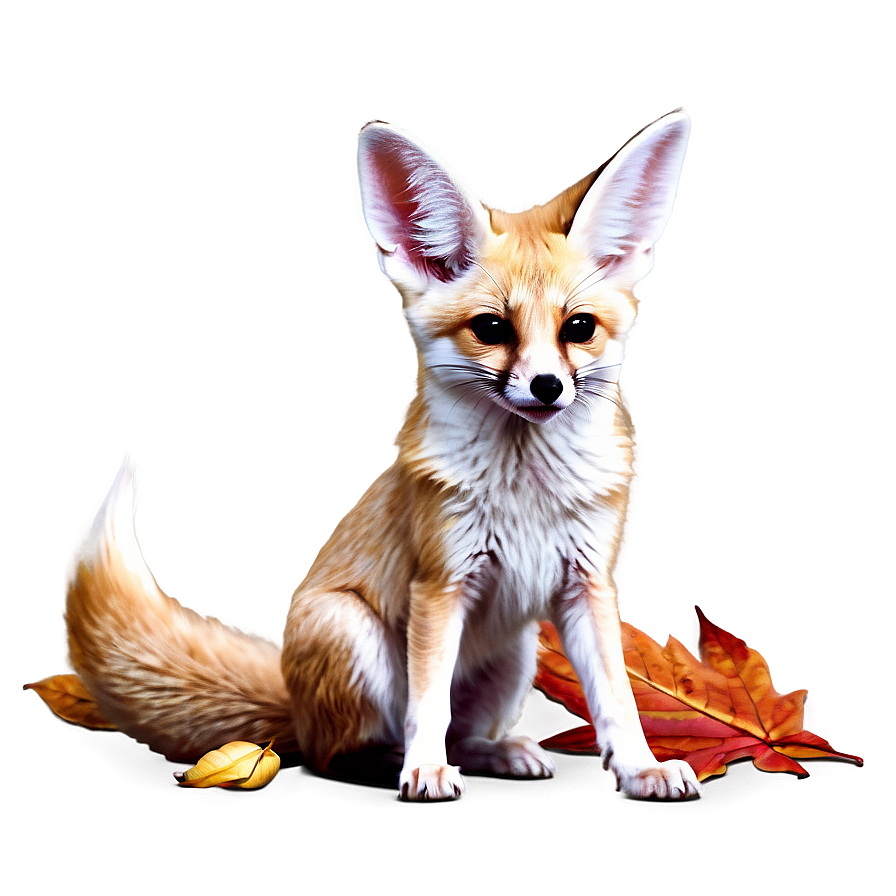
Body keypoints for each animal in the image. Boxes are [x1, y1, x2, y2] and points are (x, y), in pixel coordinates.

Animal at [65, 112, 703, 801]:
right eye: (492, 328)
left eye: (578, 328)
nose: (547, 387)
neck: (524, 490)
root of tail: (295, 707)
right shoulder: (440, 584)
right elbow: (428, 704)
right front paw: (423, 770)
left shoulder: (587, 586)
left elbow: (617, 700)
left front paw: (641, 768)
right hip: (351, 632)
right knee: (336, 754)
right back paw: (390, 762)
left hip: (519, 652)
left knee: (462, 734)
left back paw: (497, 752)